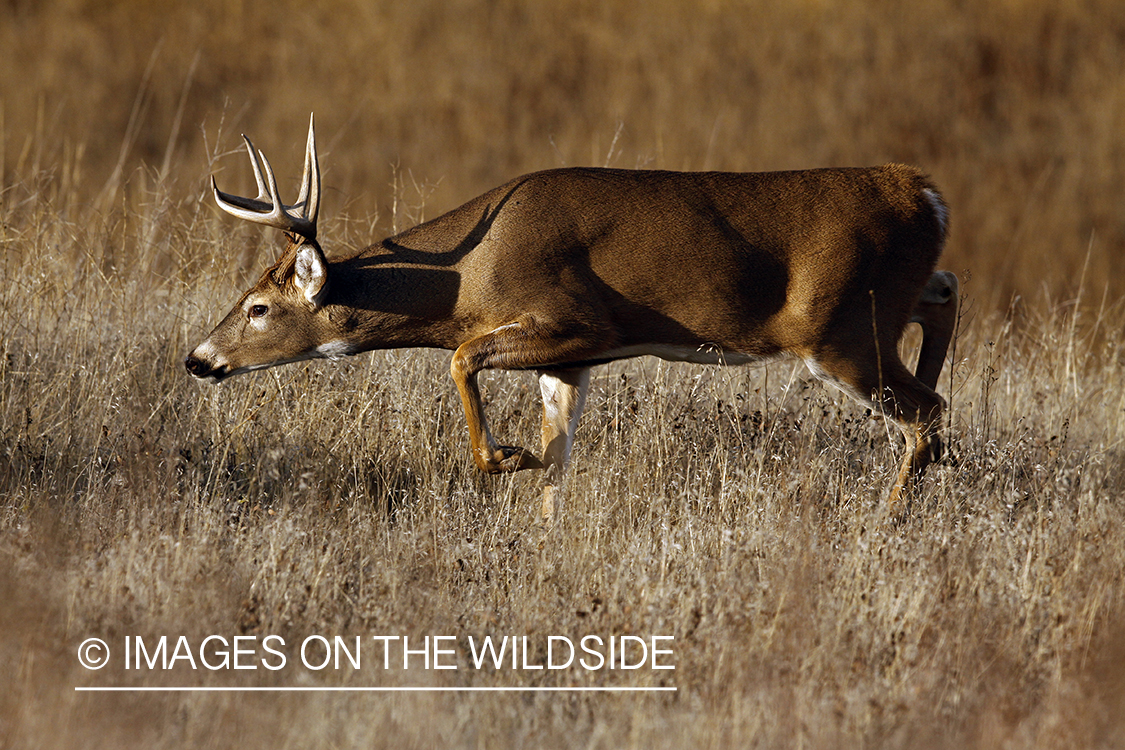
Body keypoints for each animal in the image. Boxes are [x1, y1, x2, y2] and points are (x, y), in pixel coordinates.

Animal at [184, 115, 958, 521]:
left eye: (258, 308)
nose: (198, 359)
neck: (471, 277)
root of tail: (926, 194)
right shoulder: (569, 361)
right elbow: (559, 455)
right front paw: (543, 523)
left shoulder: (582, 323)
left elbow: (462, 358)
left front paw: (505, 457)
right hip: (884, 307)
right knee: (944, 297)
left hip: (840, 330)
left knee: (927, 408)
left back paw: (889, 517)